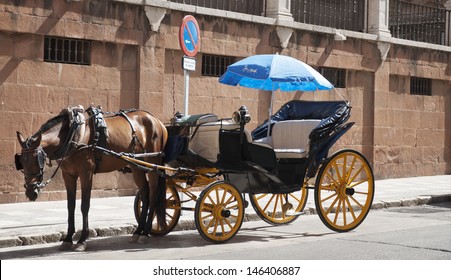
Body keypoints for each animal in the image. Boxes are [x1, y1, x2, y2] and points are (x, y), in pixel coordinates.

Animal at [15, 105, 170, 252]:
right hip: (137, 166)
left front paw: (82, 240)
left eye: (38, 160)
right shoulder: (68, 174)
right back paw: (138, 231)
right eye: (21, 162)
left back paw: (145, 232)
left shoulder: (86, 172)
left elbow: (85, 205)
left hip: (153, 163)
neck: (73, 135)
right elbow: (70, 206)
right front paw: (68, 239)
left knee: (153, 195)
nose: (31, 193)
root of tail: (157, 121)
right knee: (145, 194)